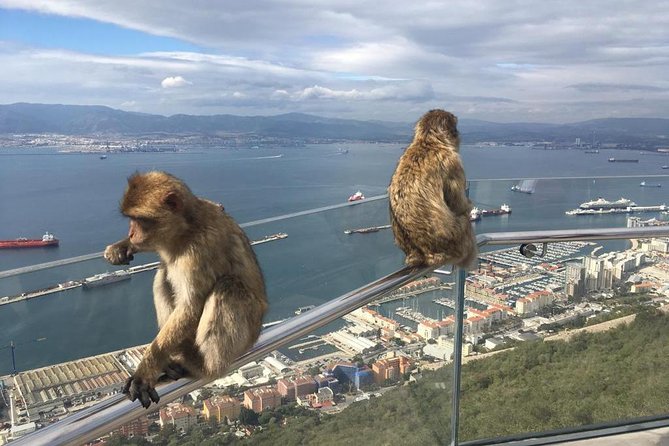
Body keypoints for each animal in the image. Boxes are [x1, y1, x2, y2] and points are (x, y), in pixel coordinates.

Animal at [104, 171, 267, 408]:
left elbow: (190, 306)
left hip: (246, 335)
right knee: (163, 274)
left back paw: (202, 367)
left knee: (228, 287)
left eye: (141, 220)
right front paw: (121, 247)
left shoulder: (198, 252)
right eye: (131, 220)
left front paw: (145, 370)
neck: (187, 229)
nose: (132, 233)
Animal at [388, 109, 478, 269]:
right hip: (456, 242)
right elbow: (459, 205)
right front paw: (468, 205)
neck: (428, 142)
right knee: (464, 221)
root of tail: (422, 254)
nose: (458, 134)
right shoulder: (453, 162)